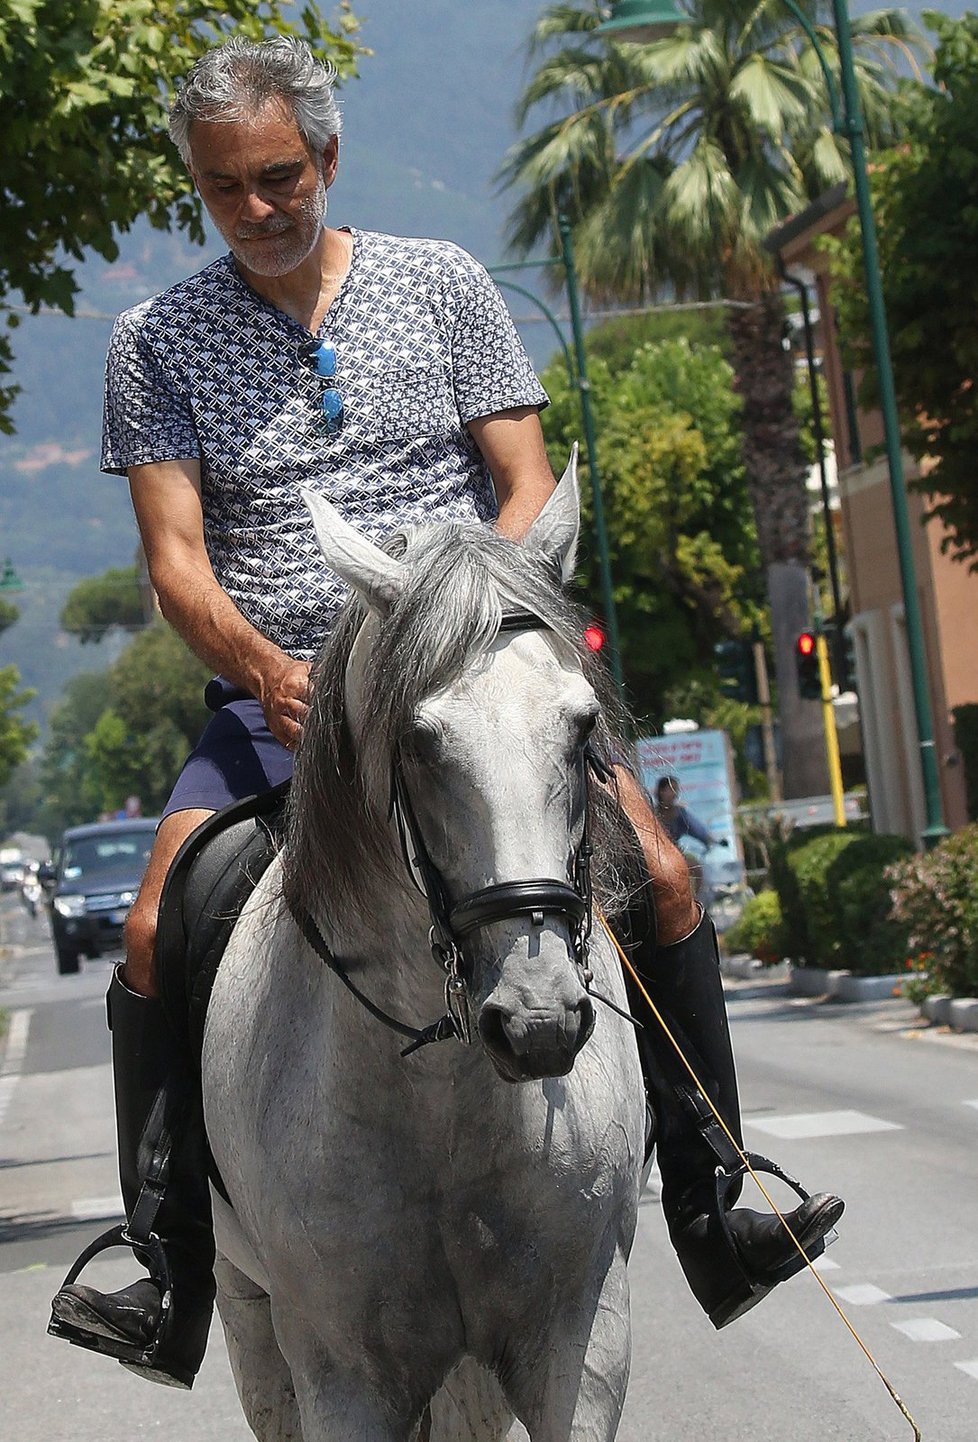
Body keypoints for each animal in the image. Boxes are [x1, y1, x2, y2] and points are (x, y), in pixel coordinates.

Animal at [201, 458, 646, 1442]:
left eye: (581, 726)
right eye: (419, 739)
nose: (538, 1019)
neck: (444, 1087)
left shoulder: (581, 1341)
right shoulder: (341, 1376)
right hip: (249, 1320)